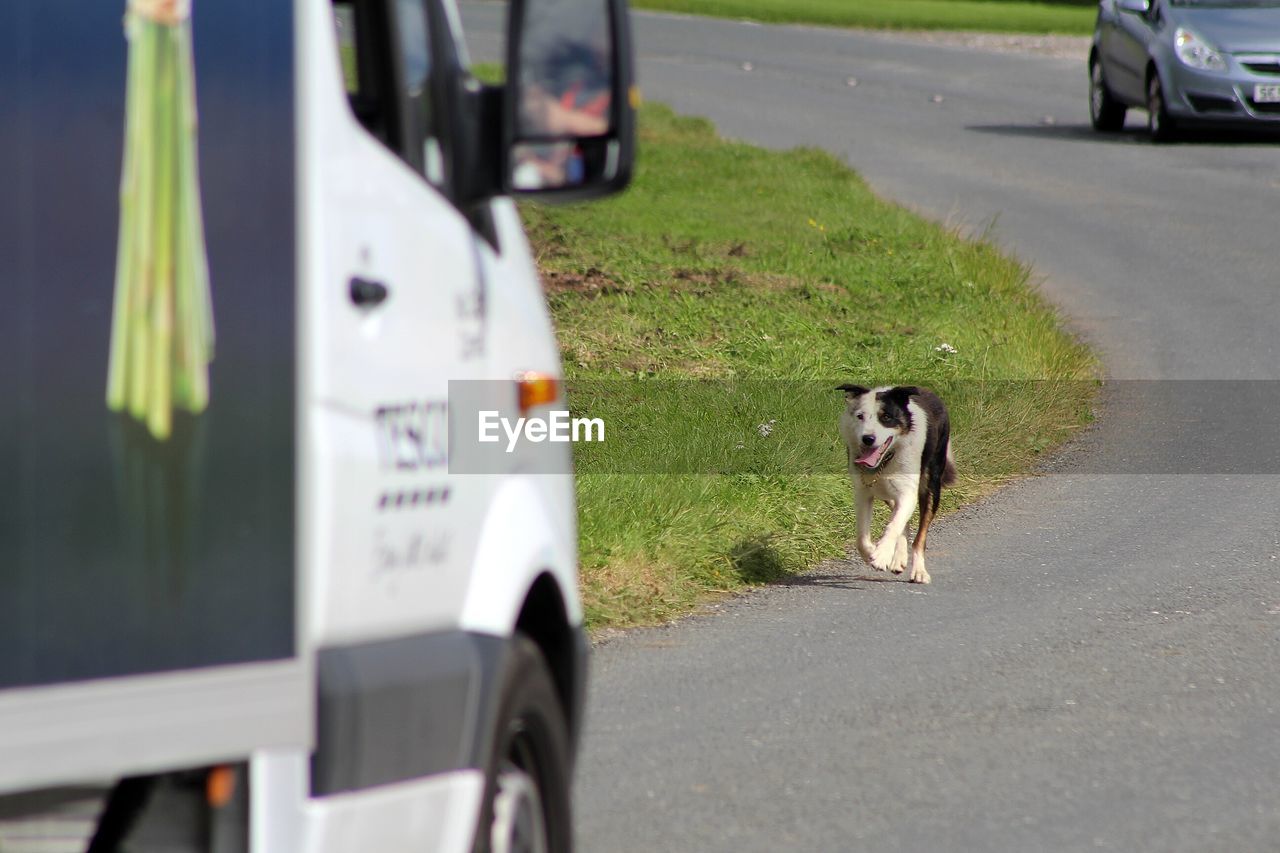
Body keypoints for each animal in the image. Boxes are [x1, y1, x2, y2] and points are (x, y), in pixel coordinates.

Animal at [834, 386, 957, 581]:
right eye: (860, 416)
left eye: (886, 417)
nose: (868, 438)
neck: (887, 458)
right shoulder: (863, 492)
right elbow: (861, 537)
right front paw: (872, 552)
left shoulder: (907, 493)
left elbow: (894, 525)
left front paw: (881, 555)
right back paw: (898, 558)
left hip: (931, 484)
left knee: (920, 535)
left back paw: (919, 571)